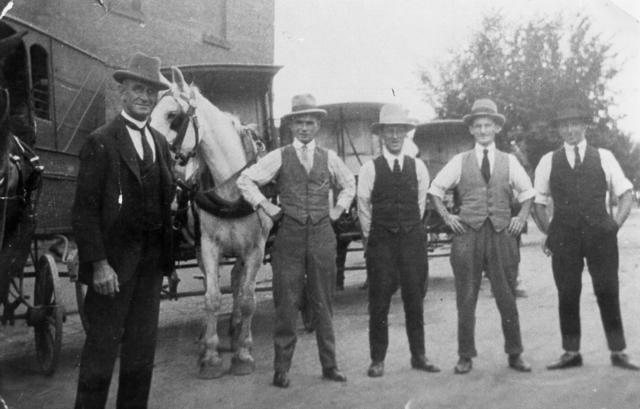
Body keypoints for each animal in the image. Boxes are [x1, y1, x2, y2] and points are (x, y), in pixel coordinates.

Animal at [151, 66, 274, 376]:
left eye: (172, 115)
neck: (232, 188)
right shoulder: (208, 246)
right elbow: (212, 297)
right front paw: (210, 354)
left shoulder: (256, 249)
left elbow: (248, 299)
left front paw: (243, 353)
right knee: (218, 281)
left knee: (238, 281)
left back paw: (237, 329)